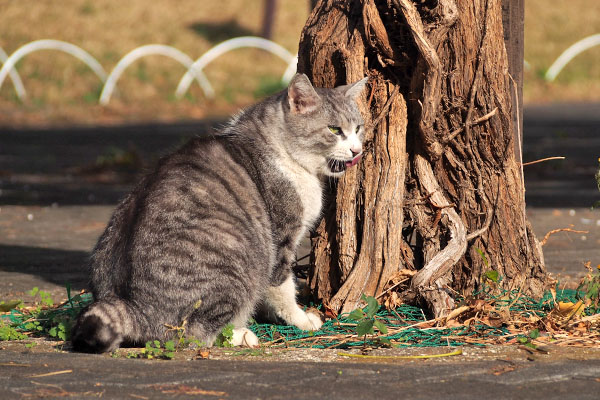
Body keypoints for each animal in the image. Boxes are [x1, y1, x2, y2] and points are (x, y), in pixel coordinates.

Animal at [72, 73, 368, 352]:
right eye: (334, 129)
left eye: (358, 128)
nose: (357, 150)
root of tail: (132, 306)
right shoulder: (282, 238)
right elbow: (282, 286)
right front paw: (301, 319)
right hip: (236, 267)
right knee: (193, 335)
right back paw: (241, 335)